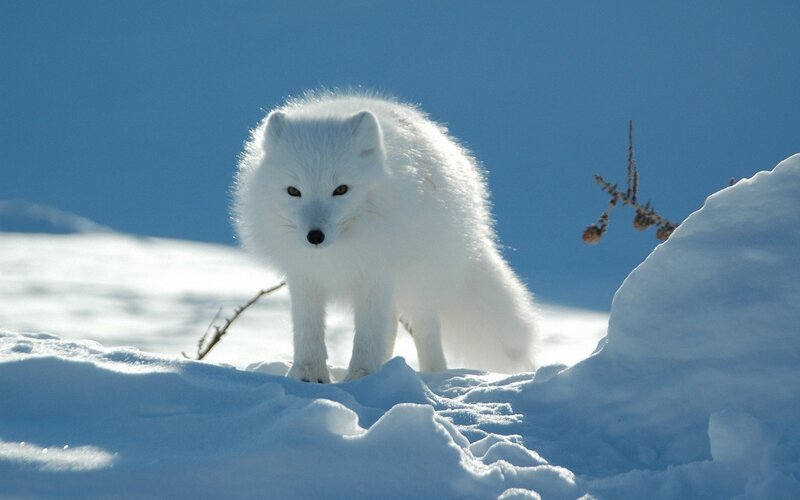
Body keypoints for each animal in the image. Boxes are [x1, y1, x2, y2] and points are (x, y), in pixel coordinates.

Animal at [233, 91, 537, 382]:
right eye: (293, 191)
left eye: (341, 189)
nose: (314, 236)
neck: (338, 252)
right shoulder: (304, 277)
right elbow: (308, 331)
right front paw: (309, 375)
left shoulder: (376, 274)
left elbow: (368, 336)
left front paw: (361, 376)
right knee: (390, 326)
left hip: (418, 281)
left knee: (424, 328)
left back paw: (432, 375)